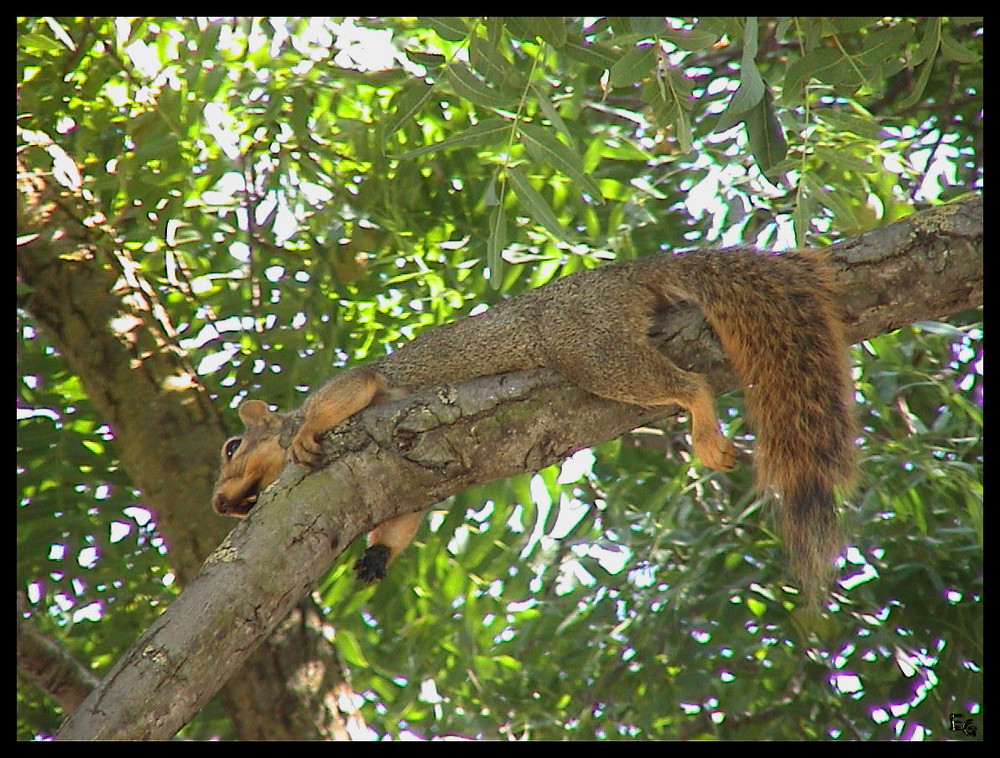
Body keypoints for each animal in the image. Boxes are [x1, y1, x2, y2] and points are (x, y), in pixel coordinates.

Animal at [215, 249, 856, 604]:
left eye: (230, 448)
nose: (221, 504)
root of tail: (629, 274)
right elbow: (400, 521)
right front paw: (375, 559)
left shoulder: (364, 385)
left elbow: (344, 394)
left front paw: (303, 434)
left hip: (591, 348)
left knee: (687, 385)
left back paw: (703, 430)